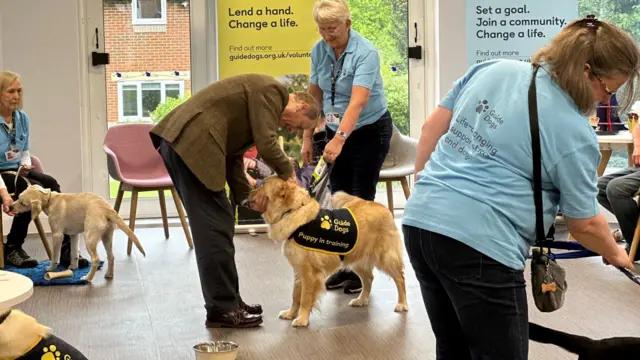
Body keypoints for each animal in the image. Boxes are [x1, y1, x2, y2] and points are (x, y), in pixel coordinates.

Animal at [10, 184, 146, 282]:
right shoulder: (74, 235)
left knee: (96, 259)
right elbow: (74, 253)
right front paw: (73, 267)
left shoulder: (57, 235)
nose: (10, 207)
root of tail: (106, 208)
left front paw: (51, 268)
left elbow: (55, 256)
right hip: (106, 236)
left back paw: (87, 278)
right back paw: (109, 275)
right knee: (111, 256)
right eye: (18, 198)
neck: (50, 199)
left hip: (89, 237)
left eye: (22, 203)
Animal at [248, 176, 408, 328]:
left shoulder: (309, 273)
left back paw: (402, 304)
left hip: (386, 258)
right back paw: (361, 299)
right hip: (356, 260)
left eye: (262, 185)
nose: (248, 194)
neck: (292, 212)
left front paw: (302, 319)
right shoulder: (298, 270)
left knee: (400, 278)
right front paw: (291, 313)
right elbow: (295, 296)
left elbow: (305, 298)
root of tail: (383, 207)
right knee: (369, 278)